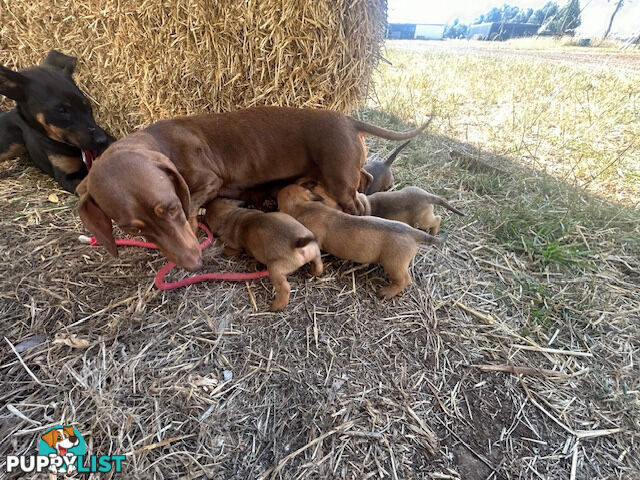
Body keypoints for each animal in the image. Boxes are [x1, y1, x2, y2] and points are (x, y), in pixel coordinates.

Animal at [77, 106, 428, 270]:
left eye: (172, 208)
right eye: (131, 229)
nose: (194, 264)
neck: (160, 144)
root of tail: (348, 121)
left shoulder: (209, 181)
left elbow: (193, 207)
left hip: (338, 178)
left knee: (356, 205)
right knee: (363, 181)